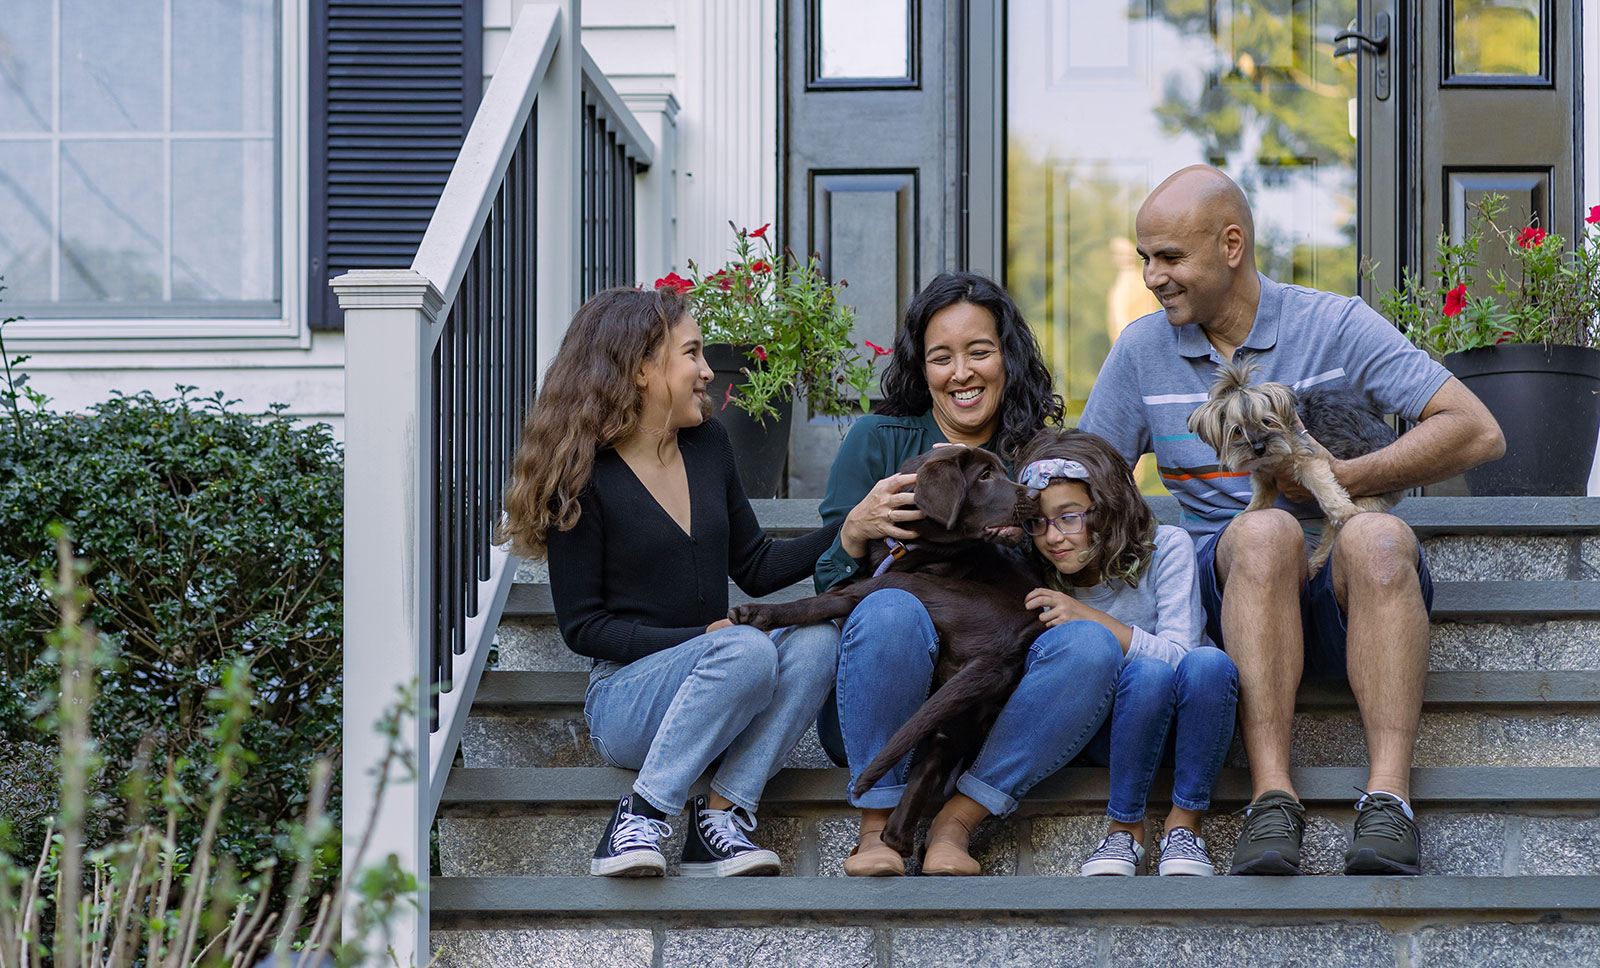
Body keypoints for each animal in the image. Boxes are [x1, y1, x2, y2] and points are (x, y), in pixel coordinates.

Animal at [1190, 360, 1401, 569]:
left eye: (1267, 421)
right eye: (1237, 431)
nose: (1259, 448)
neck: (1273, 460)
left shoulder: (1309, 459)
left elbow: (1323, 486)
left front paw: (1344, 510)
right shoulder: (1264, 476)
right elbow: (1260, 498)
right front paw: (1247, 513)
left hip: (1369, 497)